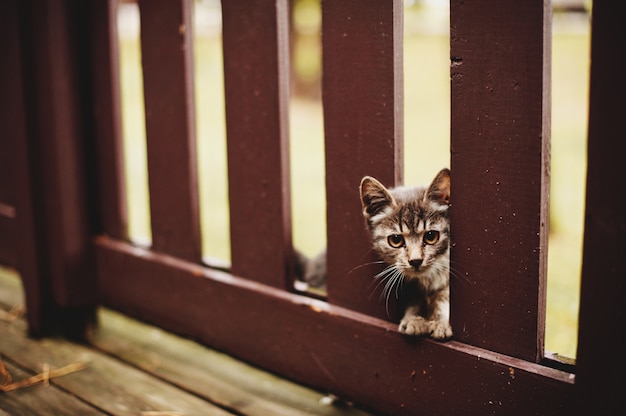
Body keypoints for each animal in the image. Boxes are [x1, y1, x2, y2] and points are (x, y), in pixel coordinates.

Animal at [358, 167, 450, 340]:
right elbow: (414, 297)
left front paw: (440, 321)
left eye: (431, 236)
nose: (415, 260)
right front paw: (413, 319)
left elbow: (444, 295)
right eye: (395, 240)